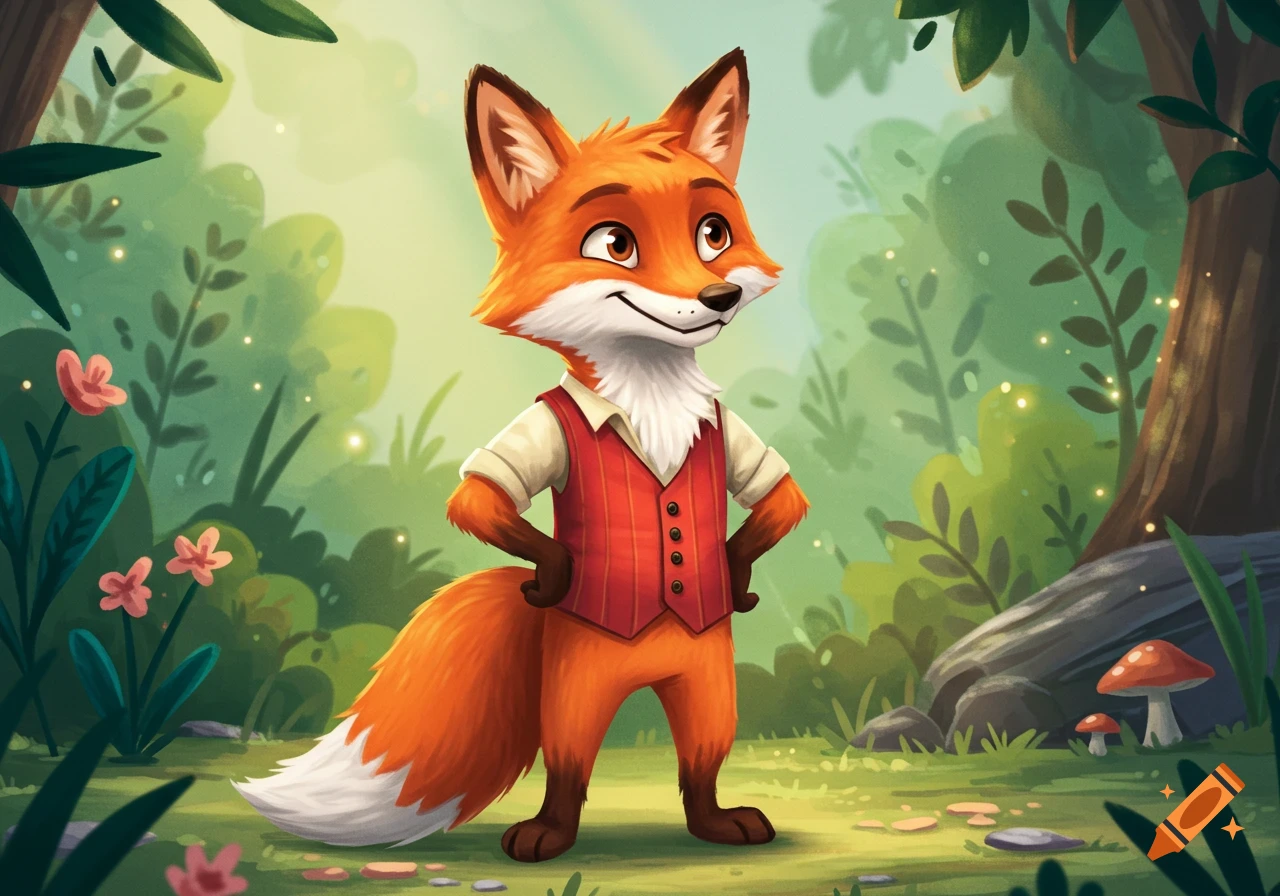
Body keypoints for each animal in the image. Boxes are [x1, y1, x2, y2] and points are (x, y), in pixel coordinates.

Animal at [233, 47, 809, 863]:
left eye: (714, 233)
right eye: (615, 244)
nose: (720, 296)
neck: (649, 398)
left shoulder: (735, 440)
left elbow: (778, 502)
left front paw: (732, 574)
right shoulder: (536, 438)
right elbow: (485, 502)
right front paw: (560, 570)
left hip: (705, 686)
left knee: (701, 758)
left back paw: (715, 822)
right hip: (577, 688)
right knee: (568, 762)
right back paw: (549, 833)